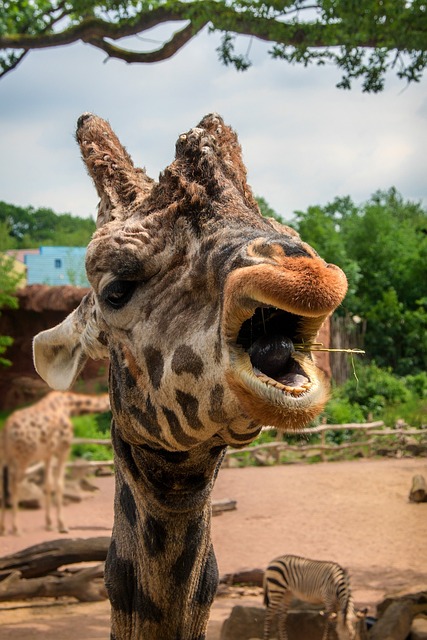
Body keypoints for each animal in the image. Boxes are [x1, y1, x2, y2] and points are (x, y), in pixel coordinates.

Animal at [0, 390, 110, 536]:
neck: (70, 406)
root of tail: (6, 430)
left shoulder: (47, 455)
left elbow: (48, 484)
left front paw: (49, 524)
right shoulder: (62, 449)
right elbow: (59, 484)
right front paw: (62, 526)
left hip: (6, 458)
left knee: (4, 486)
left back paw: (3, 528)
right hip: (23, 458)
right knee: (14, 485)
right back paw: (16, 528)